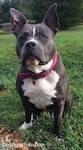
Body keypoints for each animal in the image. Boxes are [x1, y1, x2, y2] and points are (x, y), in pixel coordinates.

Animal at [9, 3, 72, 139]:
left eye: (44, 36)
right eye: (22, 37)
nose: (30, 44)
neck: (37, 73)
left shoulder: (59, 100)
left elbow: (57, 120)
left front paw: (57, 136)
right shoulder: (24, 98)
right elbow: (28, 114)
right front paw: (27, 125)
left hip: (68, 98)